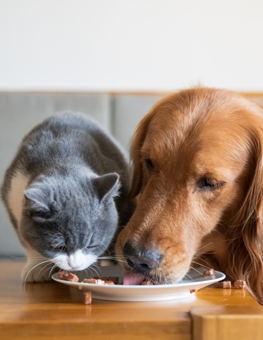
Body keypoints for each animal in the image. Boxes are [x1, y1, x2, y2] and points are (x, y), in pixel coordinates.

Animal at [0, 113, 136, 282]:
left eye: (92, 245)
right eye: (58, 246)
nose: (75, 266)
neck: (61, 158)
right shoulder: (12, 193)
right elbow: (26, 240)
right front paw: (36, 268)